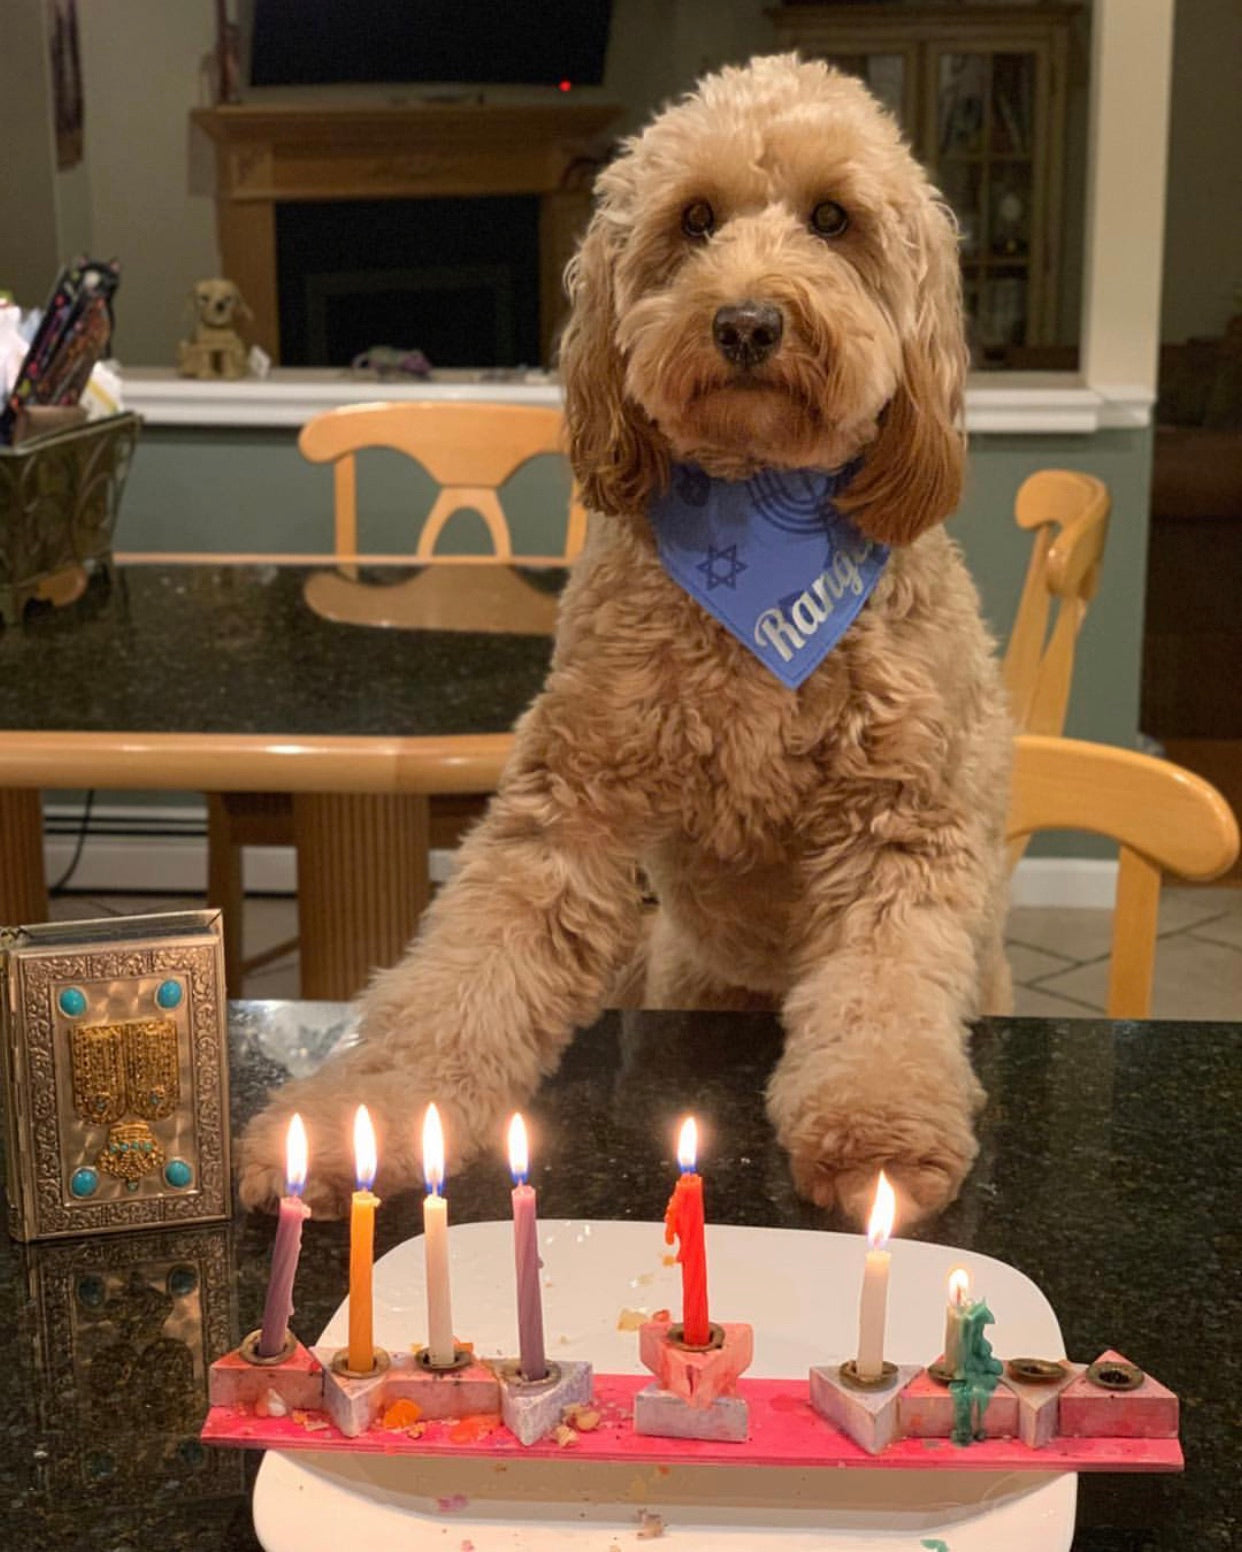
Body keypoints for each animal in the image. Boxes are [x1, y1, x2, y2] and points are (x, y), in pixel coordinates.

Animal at [240, 54, 1006, 1222]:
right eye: (694, 219)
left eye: (833, 219)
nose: (746, 322)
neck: (755, 530)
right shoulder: (569, 805)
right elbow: (462, 970)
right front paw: (354, 1115)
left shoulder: (899, 829)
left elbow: (883, 996)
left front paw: (878, 1128)